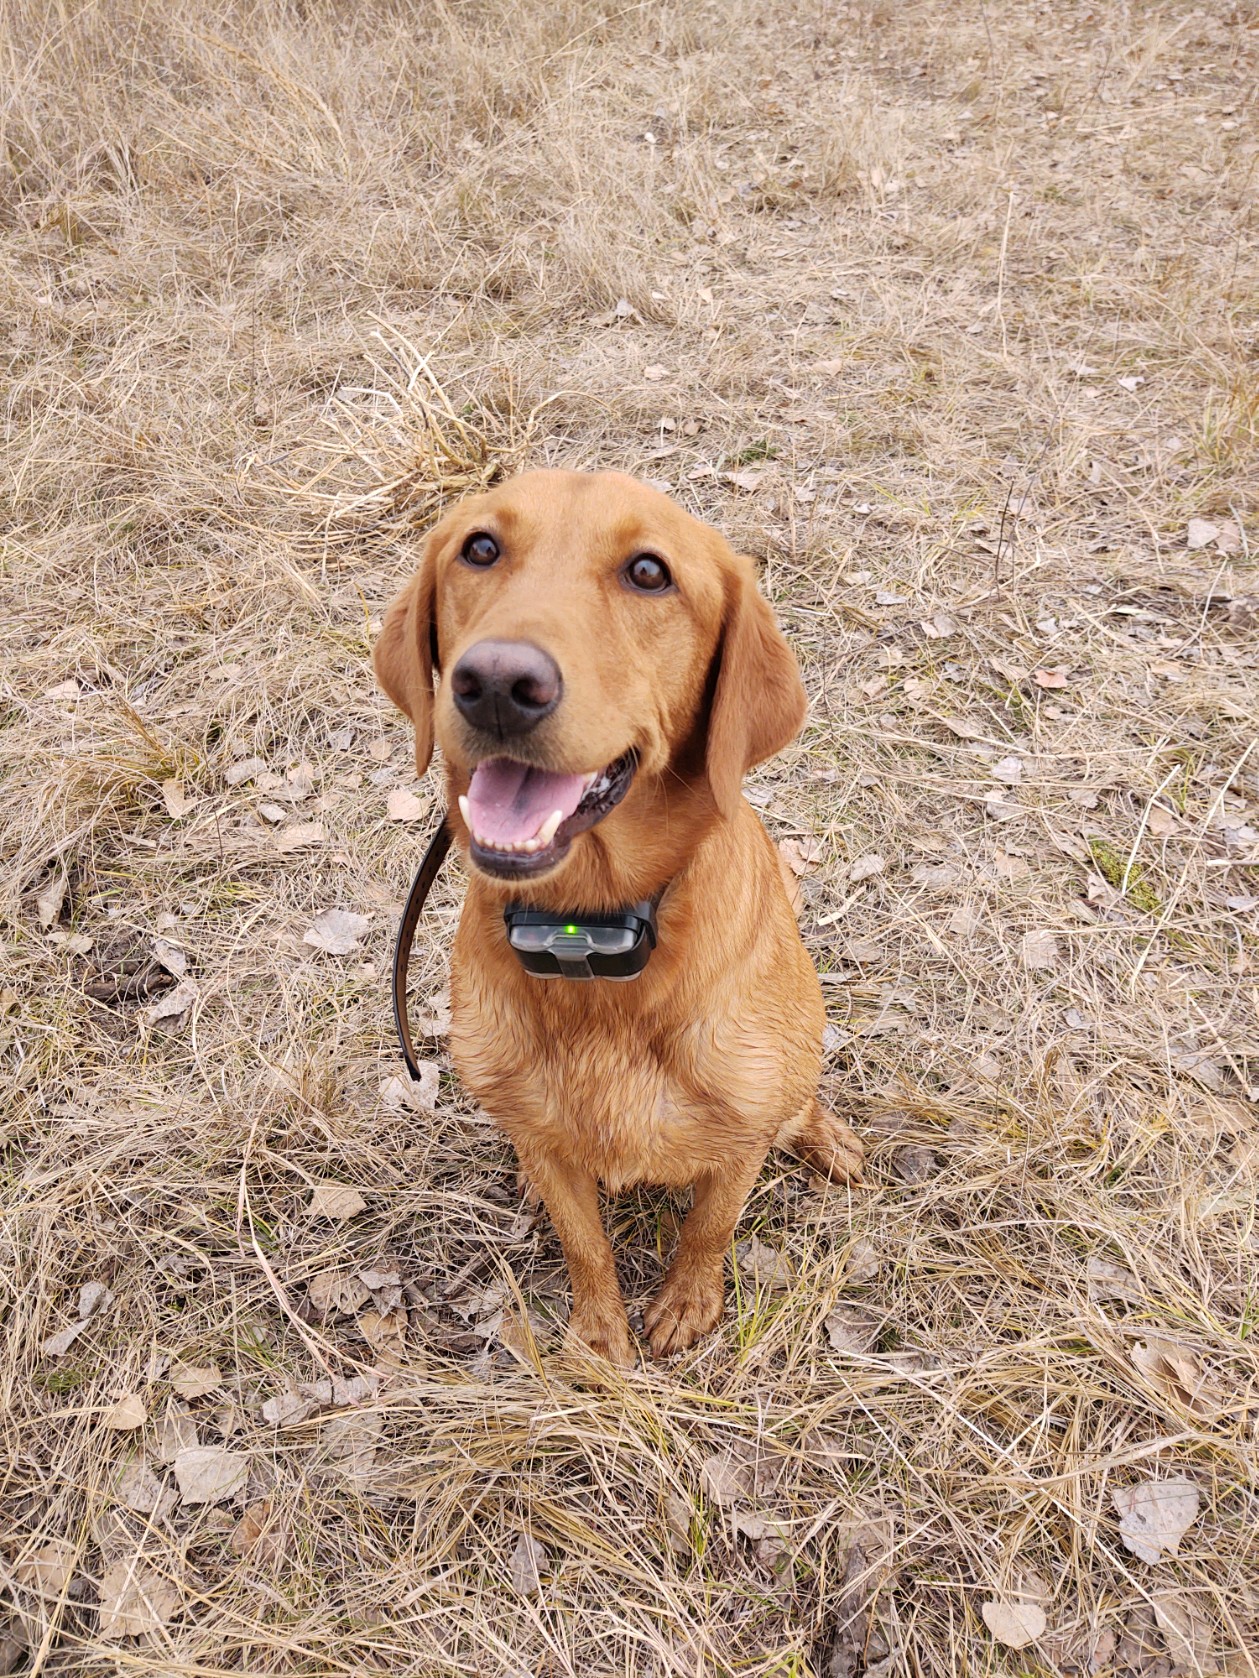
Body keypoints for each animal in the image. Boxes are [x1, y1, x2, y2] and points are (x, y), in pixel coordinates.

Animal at [377, 469, 866, 1362]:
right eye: (479, 548)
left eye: (648, 572)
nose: (495, 683)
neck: (588, 934)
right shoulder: (543, 1135)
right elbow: (583, 1241)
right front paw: (600, 1335)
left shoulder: (739, 1136)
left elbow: (710, 1225)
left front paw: (687, 1303)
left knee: (799, 1102)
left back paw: (827, 1137)